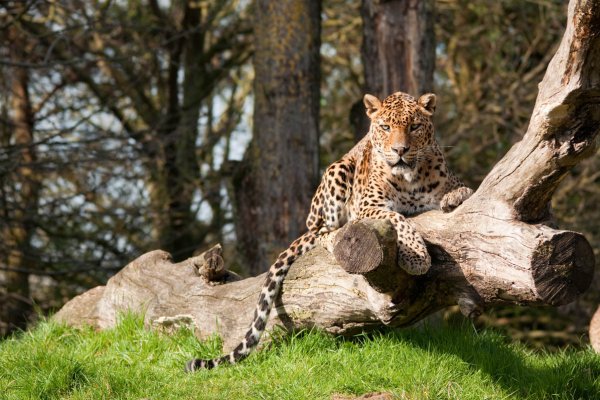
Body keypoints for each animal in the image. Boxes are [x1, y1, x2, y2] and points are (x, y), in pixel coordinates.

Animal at [188, 91, 474, 372]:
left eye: (414, 127)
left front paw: (455, 197)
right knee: (322, 231)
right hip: (336, 173)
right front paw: (417, 256)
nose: (400, 150)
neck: (411, 178)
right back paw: (335, 235)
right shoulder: (367, 207)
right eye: (386, 127)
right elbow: (397, 217)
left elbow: (463, 190)